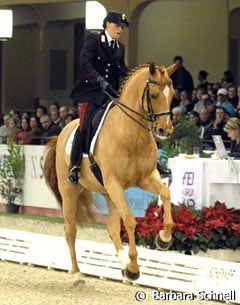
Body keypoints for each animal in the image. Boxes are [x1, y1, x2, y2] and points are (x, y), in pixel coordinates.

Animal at [44, 62, 176, 282]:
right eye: (154, 95)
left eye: (173, 94)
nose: (165, 130)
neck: (131, 134)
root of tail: (62, 131)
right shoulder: (115, 182)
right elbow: (130, 221)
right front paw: (134, 266)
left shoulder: (146, 178)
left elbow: (165, 193)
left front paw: (163, 239)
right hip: (71, 190)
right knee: (70, 230)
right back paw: (78, 273)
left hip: (108, 192)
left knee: (112, 228)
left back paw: (124, 267)